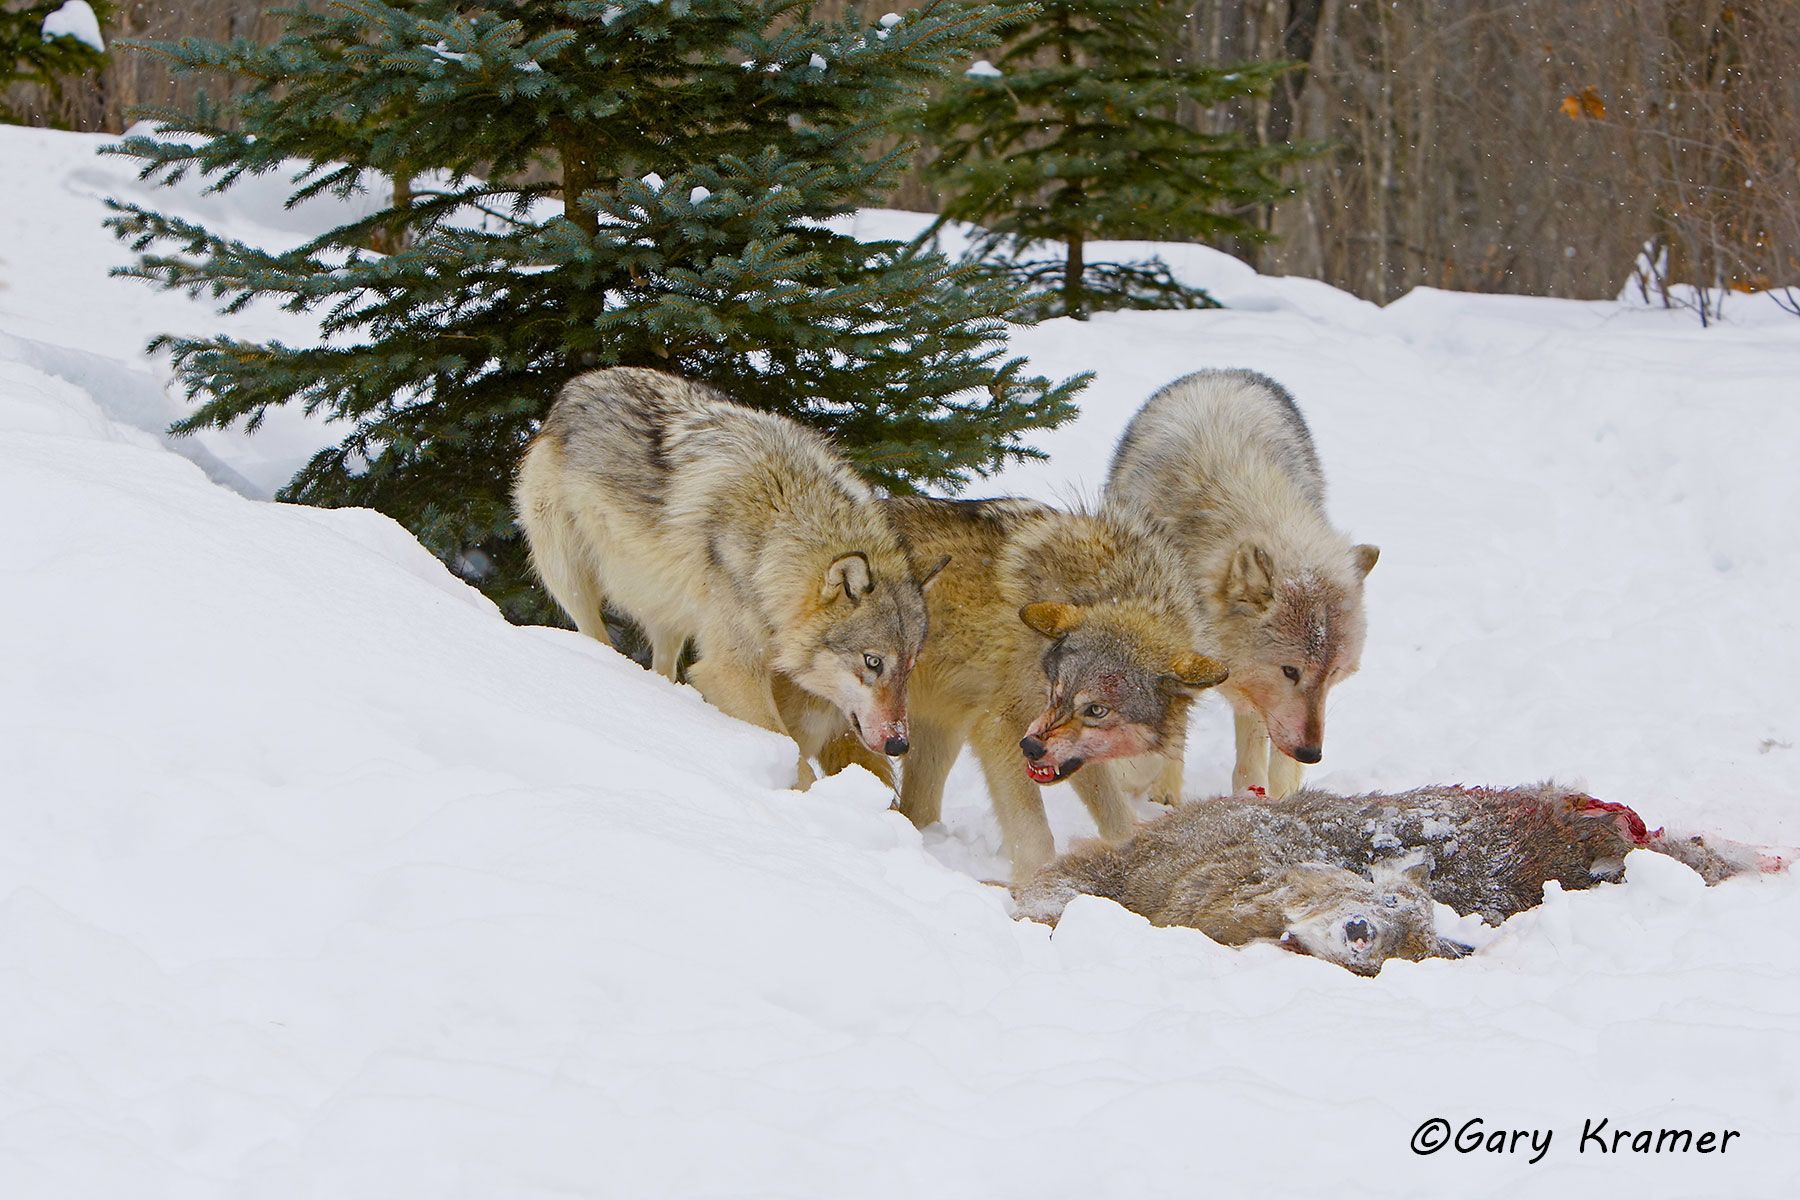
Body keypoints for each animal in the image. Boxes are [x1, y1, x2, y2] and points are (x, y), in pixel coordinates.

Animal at [513, 368, 938, 783]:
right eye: (873, 662)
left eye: (909, 667)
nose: (899, 745)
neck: (780, 526)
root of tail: (578, 383)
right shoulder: (730, 669)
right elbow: (796, 760)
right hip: (570, 577)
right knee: (593, 632)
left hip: (669, 615)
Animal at [873, 496, 1229, 883]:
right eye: (1056, 691)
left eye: (1096, 710)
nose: (1030, 747)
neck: (1112, 589)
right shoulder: (1001, 727)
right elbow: (1034, 836)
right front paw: (1034, 882)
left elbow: (1123, 808)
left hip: (939, 730)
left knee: (917, 809)